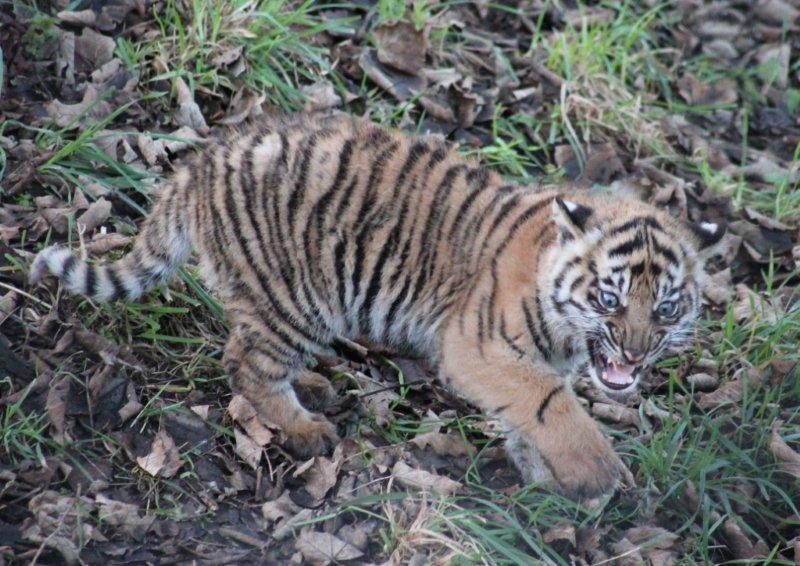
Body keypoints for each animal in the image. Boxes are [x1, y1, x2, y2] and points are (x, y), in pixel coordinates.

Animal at [29, 112, 724, 499]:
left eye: (665, 310)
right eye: (609, 300)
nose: (634, 353)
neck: (570, 336)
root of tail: (202, 165)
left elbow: (530, 412)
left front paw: (545, 474)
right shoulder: (476, 347)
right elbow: (553, 407)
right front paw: (598, 475)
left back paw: (316, 385)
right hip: (296, 298)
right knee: (246, 365)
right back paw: (307, 428)